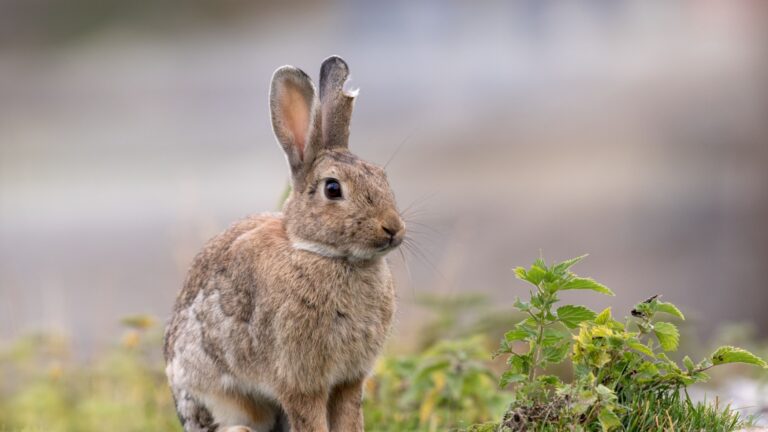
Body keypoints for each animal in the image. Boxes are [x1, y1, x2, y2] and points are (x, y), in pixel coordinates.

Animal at [163, 55, 405, 432]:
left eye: (381, 176)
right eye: (333, 189)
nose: (393, 228)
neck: (325, 254)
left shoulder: (349, 380)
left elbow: (350, 418)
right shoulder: (299, 380)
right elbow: (311, 421)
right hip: (220, 400)